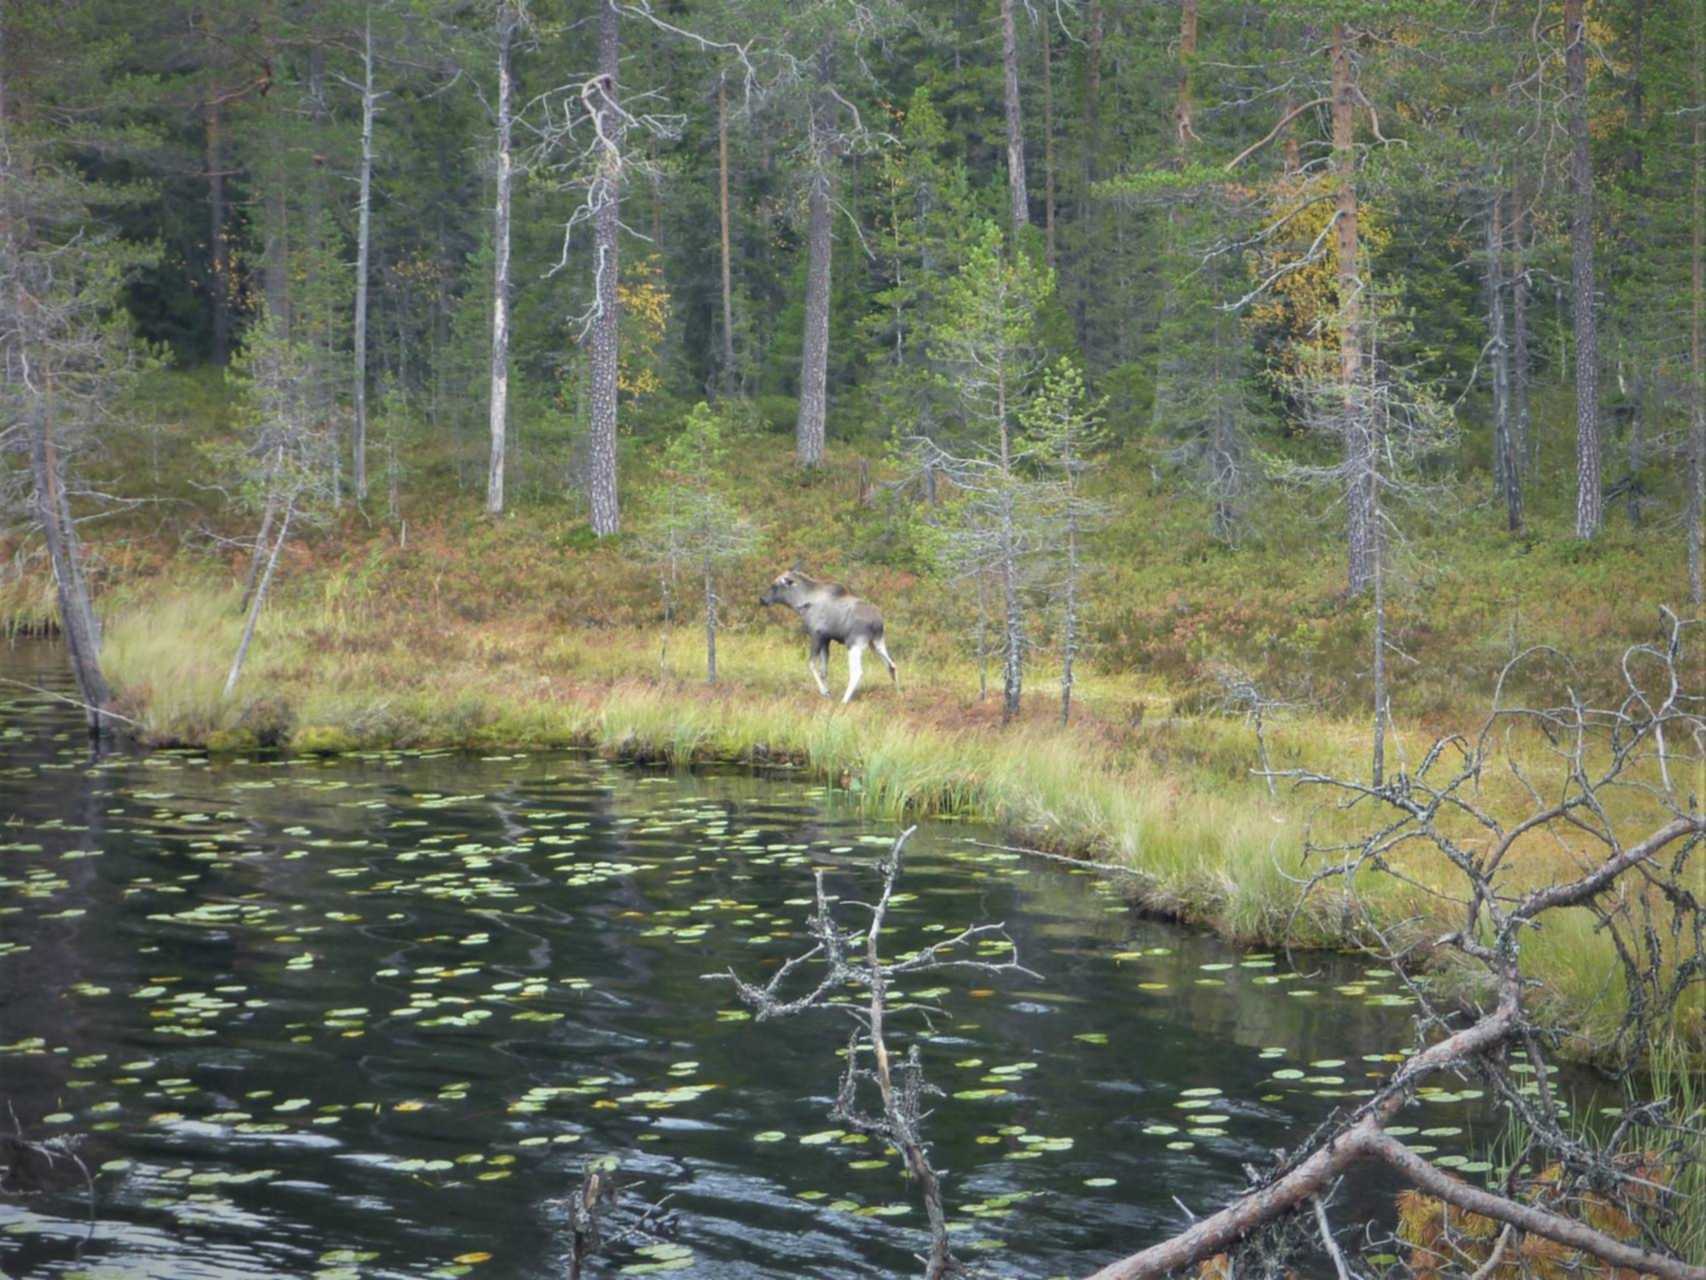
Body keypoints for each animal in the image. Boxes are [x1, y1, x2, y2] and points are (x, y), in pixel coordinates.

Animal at [757, 576, 900, 706]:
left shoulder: (817, 636)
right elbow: (823, 671)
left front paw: (825, 692)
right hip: (876, 643)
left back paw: (844, 700)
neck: (801, 603)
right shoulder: (826, 640)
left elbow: (811, 664)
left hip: (855, 645)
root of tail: (878, 622)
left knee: (857, 672)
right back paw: (898, 694)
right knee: (892, 665)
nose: (762, 599)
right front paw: (827, 692)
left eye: (775, 585)